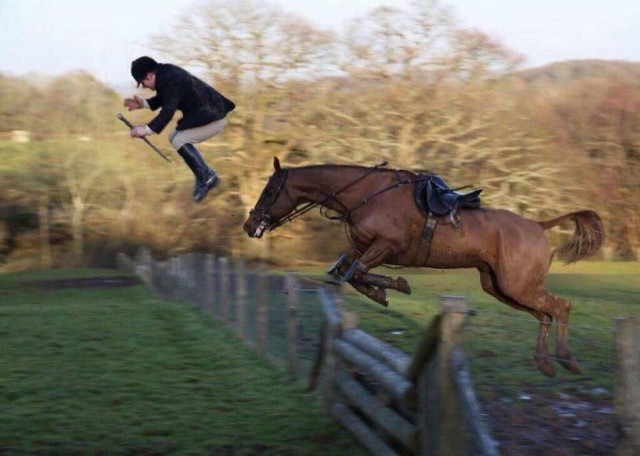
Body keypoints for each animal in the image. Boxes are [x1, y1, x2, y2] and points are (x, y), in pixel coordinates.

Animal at [244, 158, 604, 378]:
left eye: (271, 190)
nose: (250, 226)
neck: (364, 195)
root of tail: (539, 225)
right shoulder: (365, 249)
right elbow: (348, 270)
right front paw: (381, 291)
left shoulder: (386, 247)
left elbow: (356, 271)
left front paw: (392, 286)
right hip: (501, 287)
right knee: (544, 314)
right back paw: (545, 363)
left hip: (517, 285)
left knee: (561, 307)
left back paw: (567, 358)